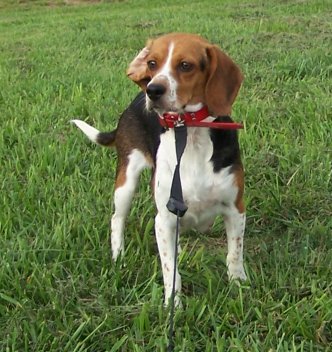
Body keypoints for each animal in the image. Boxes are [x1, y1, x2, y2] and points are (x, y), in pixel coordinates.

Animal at [72, 32, 246, 306]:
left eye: (185, 65)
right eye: (152, 63)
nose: (152, 90)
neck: (190, 134)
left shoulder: (235, 208)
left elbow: (234, 254)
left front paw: (239, 286)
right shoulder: (163, 219)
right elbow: (170, 271)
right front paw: (172, 305)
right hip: (126, 181)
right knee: (116, 219)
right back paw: (118, 257)